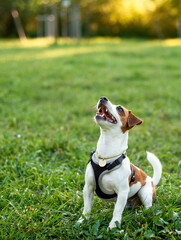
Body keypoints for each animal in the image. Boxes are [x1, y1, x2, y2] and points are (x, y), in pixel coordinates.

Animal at [78, 96, 162, 230]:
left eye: (120, 109)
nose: (103, 98)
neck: (106, 157)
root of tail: (151, 180)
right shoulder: (88, 188)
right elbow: (86, 208)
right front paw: (82, 221)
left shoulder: (122, 192)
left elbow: (117, 211)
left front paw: (113, 226)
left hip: (145, 192)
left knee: (148, 208)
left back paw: (139, 214)